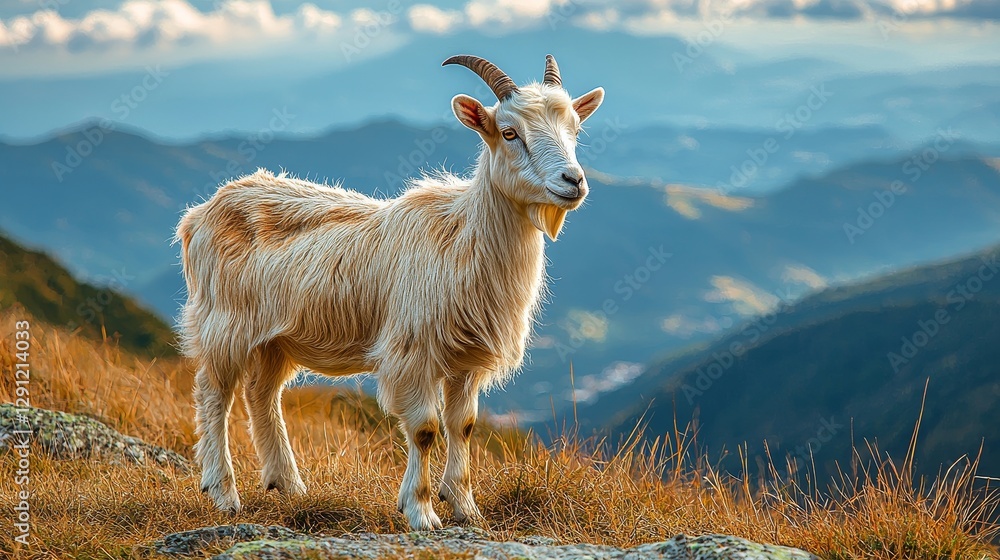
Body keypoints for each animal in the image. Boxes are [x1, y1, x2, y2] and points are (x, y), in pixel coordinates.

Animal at [175, 54, 604, 530]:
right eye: (510, 133)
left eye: (576, 130)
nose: (573, 181)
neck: (462, 237)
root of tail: (199, 214)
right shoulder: (412, 352)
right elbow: (425, 429)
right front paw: (421, 512)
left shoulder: (466, 360)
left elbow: (464, 425)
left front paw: (465, 507)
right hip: (223, 323)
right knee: (214, 393)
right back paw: (223, 492)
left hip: (274, 339)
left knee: (261, 394)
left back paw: (288, 485)